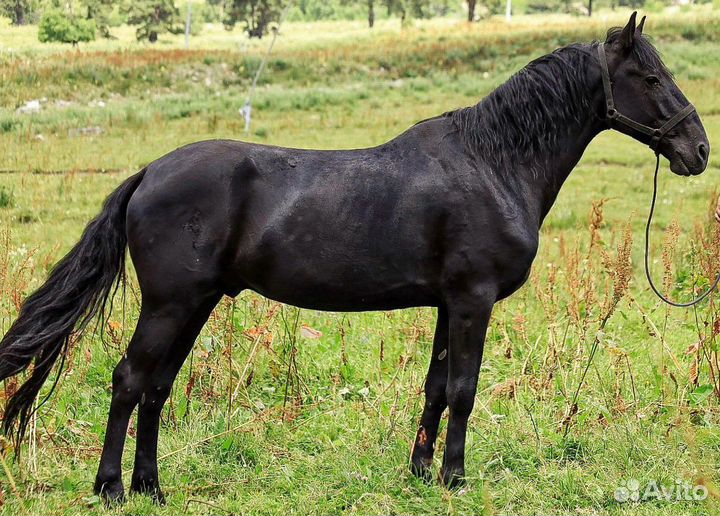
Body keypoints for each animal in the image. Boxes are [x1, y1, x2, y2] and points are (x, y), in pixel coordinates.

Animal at [0, 12, 709, 504]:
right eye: (650, 78)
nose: (698, 150)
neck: (494, 162)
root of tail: (149, 173)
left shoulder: (449, 304)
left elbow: (435, 388)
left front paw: (421, 473)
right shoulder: (472, 300)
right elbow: (464, 390)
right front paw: (454, 477)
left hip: (194, 306)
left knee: (156, 387)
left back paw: (151, 487)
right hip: (171, 305)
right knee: (128, 381)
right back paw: (113, 489)